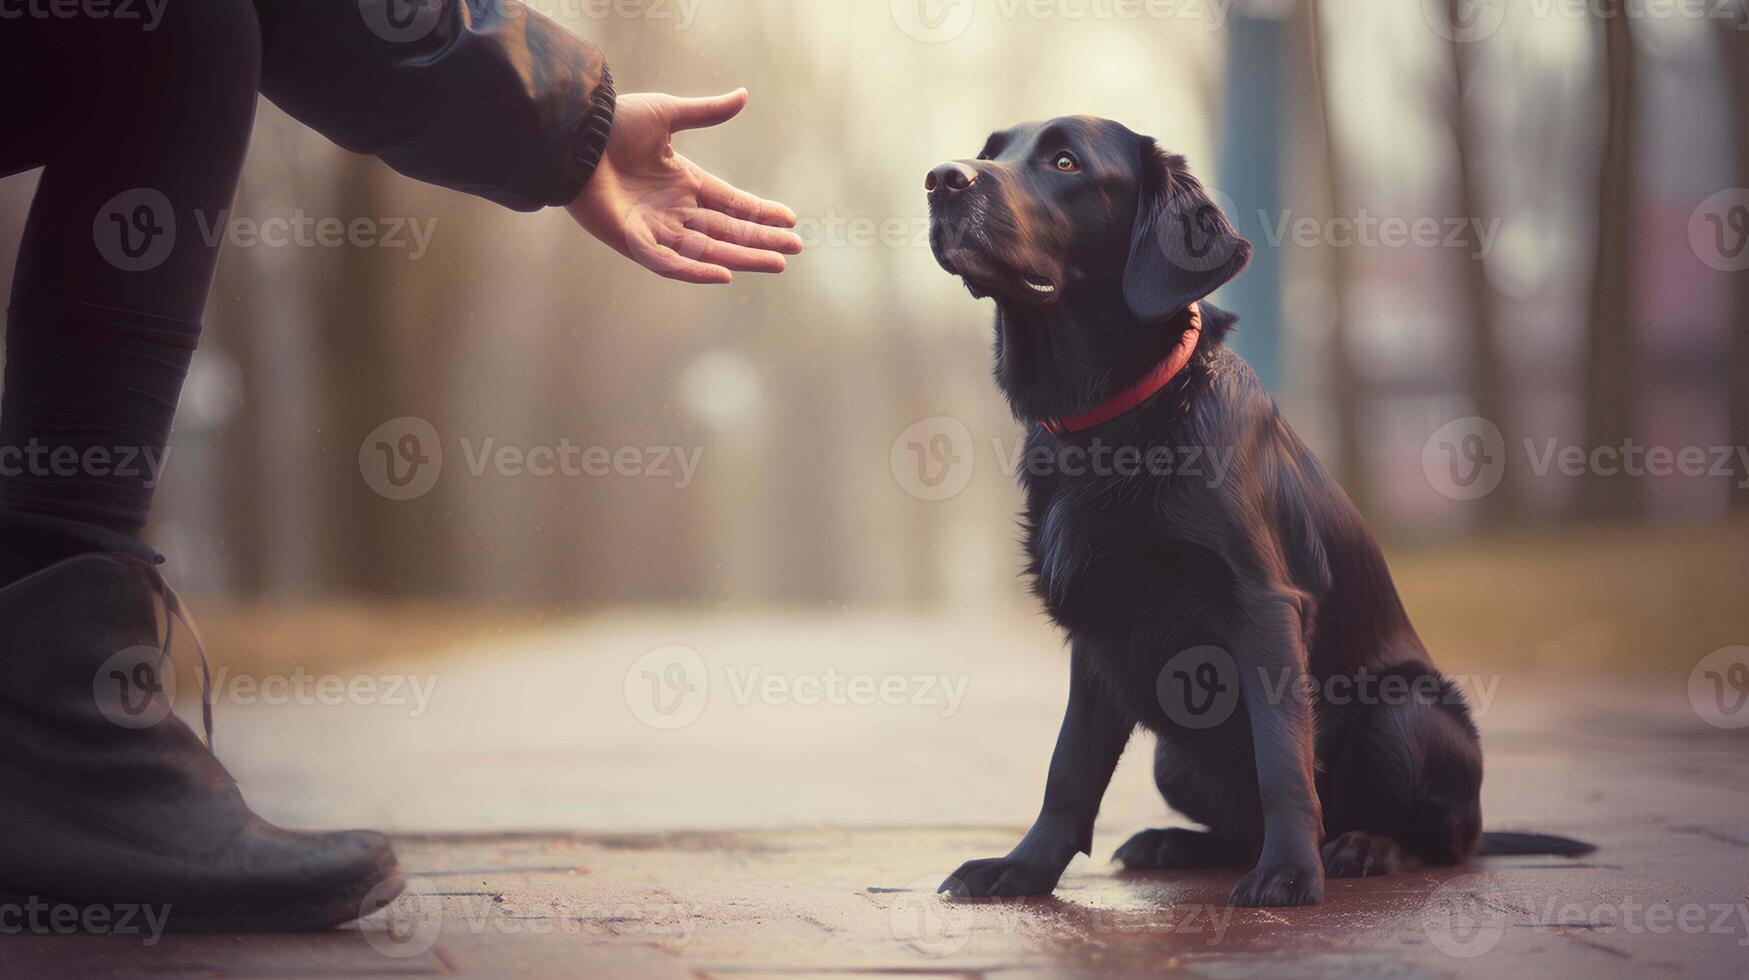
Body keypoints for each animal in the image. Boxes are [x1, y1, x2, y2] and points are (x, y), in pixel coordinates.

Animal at [923, 119, 1595, 910]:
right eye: (990, 153)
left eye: (1064, 162)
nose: (941, 179)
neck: (1115, 422)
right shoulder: (1097, 625)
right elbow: (1070, 768)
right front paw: (1022, 869)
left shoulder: (1263, 606)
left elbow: (1281, 759)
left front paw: (1289, 871)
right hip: (1174, 756)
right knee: (1235, 825)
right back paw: (1174, 842)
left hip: (1403, 708)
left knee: (1445, 844)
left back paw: (1364, 847)